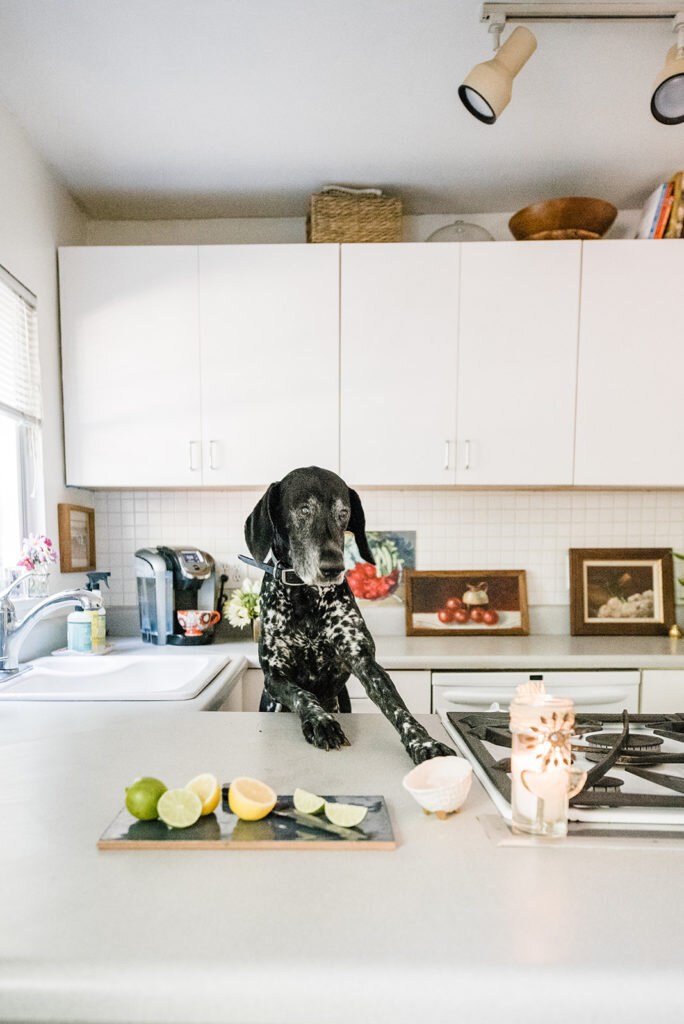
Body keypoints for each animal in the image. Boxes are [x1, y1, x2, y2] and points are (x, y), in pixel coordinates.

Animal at [245, 468, 454, 765]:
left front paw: (424, 742)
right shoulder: (274, 675)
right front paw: (321, 721)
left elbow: (397, 706)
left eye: (343, 513)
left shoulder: (365, 662)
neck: (306, 597)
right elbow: (302, 694)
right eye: (303, 509)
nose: (334, 567)